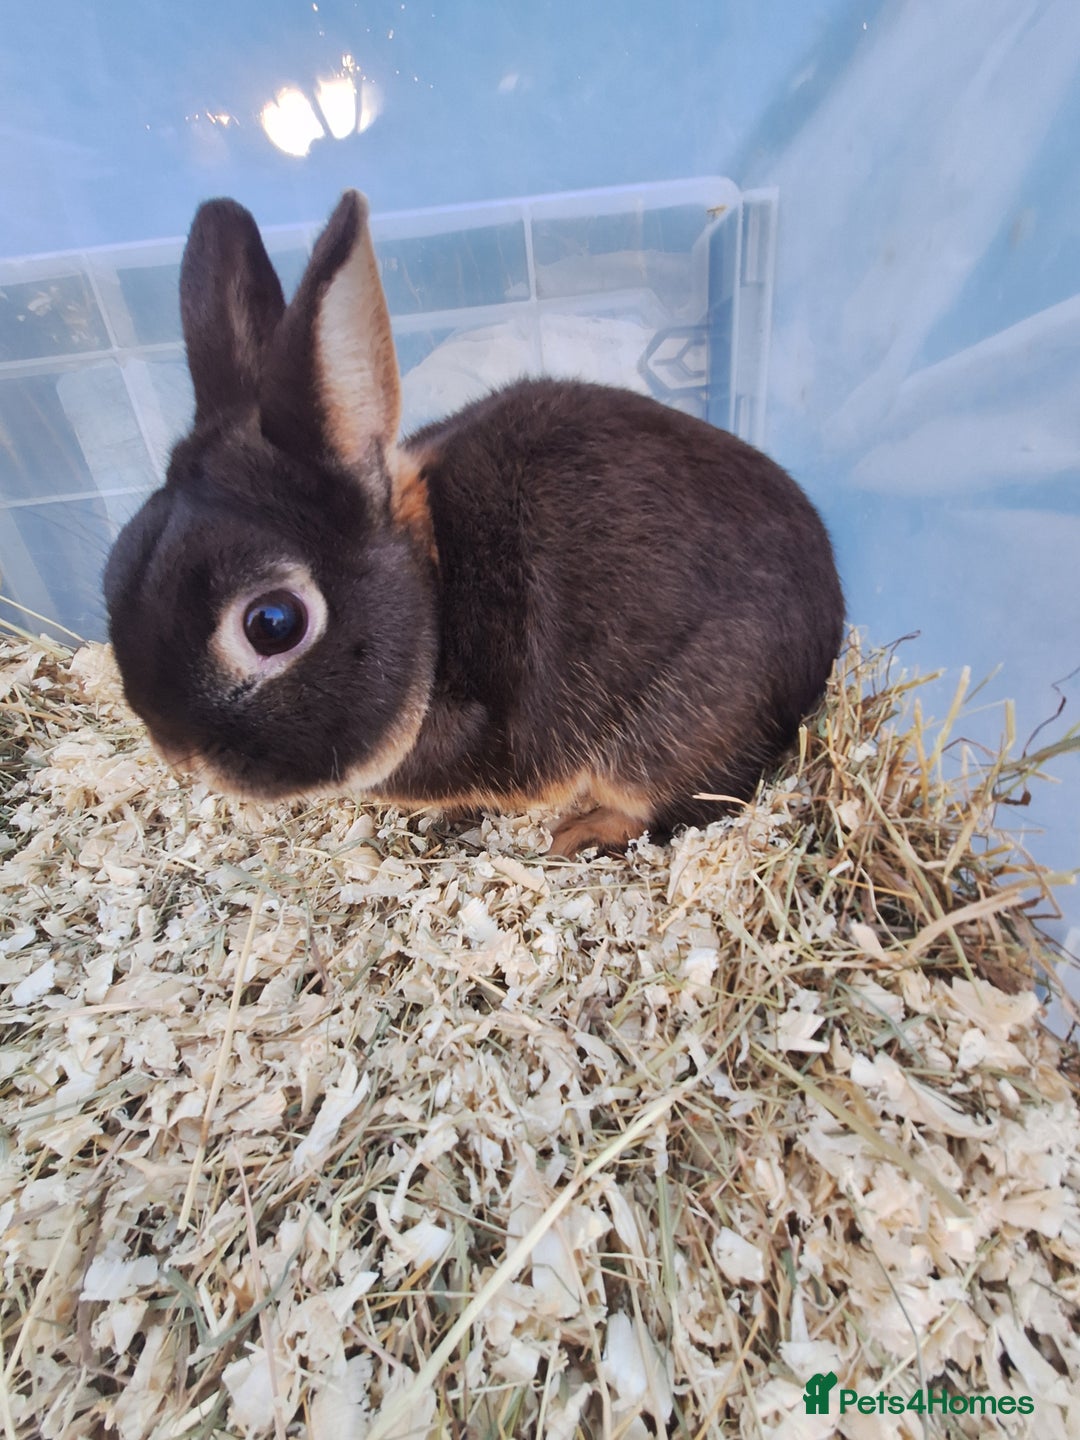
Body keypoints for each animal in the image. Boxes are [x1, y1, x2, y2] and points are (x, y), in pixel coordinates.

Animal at [104, 190, 844, 857]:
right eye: (114, 568)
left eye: (273, 623)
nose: (178, 752)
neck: (435, 592)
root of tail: (826, 640)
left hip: (676, 727)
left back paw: (576, 834)